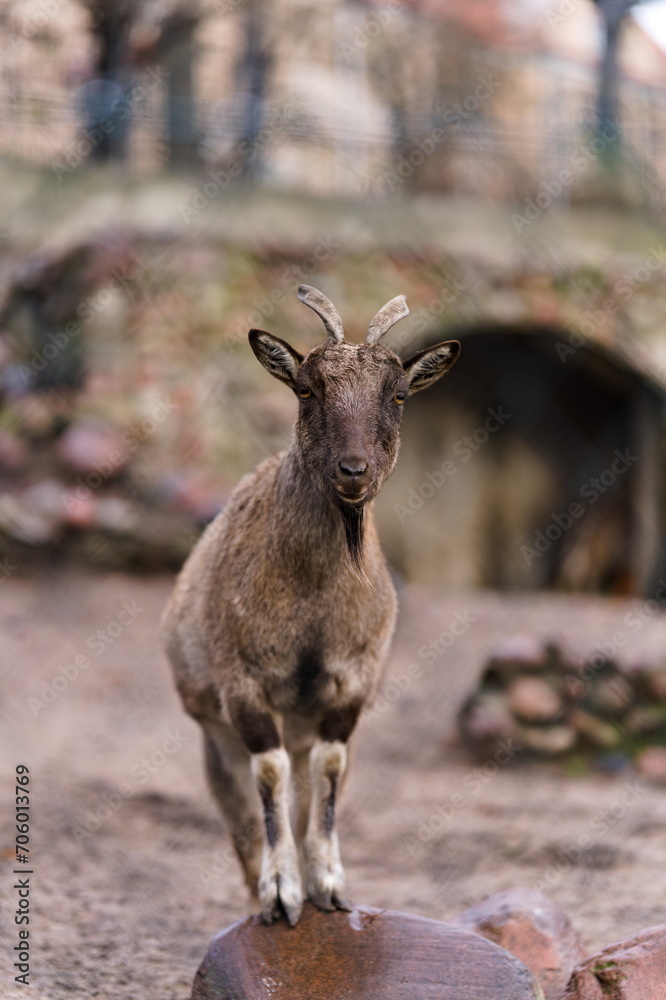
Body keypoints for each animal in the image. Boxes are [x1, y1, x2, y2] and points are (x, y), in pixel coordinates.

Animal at [163, 286, 460, 924]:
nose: (353, 471)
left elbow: (328, 774)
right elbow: (268, 777)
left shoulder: (350, 687)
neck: (312, 604)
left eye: (398, 395)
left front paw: (329, 885)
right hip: (214, 733)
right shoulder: (245, 687)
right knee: (241, 812)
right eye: (306, 389)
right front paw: (282, 892)